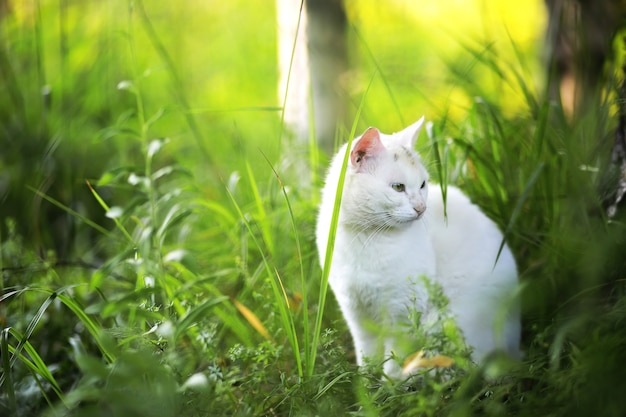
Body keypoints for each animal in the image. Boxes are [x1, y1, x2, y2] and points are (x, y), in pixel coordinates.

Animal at [314, 118, 520, 376]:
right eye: (398, 187)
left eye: (422, 184)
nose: (421, 208)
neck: (366, 238)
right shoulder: (357, 313)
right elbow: (367, 357)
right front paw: (367, 382)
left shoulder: (403, 313)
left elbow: (394, 363)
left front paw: (390, 384)